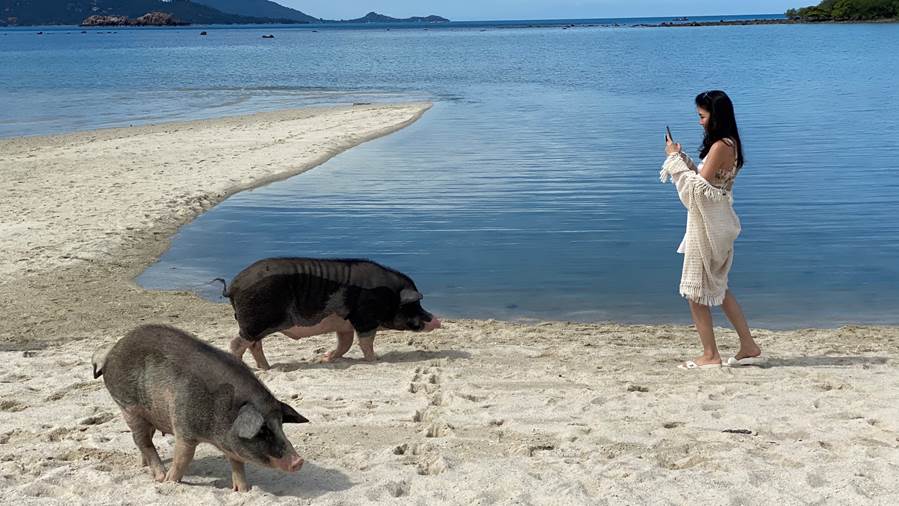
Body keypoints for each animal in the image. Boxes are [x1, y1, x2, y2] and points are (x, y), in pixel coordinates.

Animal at [92, 322, 310, 492]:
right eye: (263, 430)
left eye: (280, 425)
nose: (298, 461)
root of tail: (109, 354)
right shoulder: (184, 427)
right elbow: (183, 458)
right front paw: (170, 482)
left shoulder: (229, 443)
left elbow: (237, 463)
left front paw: (244, 490)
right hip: (128, 408)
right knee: (142, 440)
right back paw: (160, 476)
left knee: (142, 441)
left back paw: (144, 466)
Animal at [218, 258, 442, 370]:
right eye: (415, 304)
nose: (437, 320)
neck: (391, 297)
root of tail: (234, 286)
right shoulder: (365, 318)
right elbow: (365, 342)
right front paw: (375, 359)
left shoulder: (344, 325)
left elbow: (345, 343)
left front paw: (325, 358)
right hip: (255, 322)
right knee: (236, 343)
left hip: (256, 325)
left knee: (254, 345)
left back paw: (267, 368)